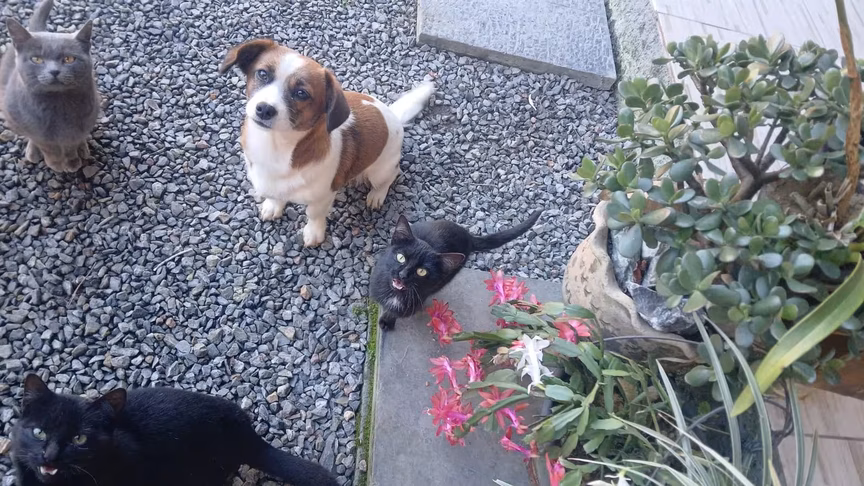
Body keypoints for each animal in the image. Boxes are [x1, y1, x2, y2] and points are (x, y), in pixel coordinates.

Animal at [0, 0, 99, 173]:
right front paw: (56, 163)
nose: (54, 71)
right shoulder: (38, 132)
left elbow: (71, 144)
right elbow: (48, 147)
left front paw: (72, 162)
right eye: (37, 59)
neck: (57, 106)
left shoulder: (78, 125)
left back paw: (83, 149)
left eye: (69, 59)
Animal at [219, 39, 434, 247]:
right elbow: (274, 195)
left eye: (301, 93)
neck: (275, 148)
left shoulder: (322, 197)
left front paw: (313, 233)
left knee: (391, 176)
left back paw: (377, 195)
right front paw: (273, 206)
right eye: (262, 73)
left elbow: (314, 215)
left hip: (379, 171)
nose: (264, 109)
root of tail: (393, 116)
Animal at [371, 210, 543, 330]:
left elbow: (395, 312)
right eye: (401, 258)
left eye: (422, 271)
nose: (403, 274)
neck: (395, 293)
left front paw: (388, 320)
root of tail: (468, 236)